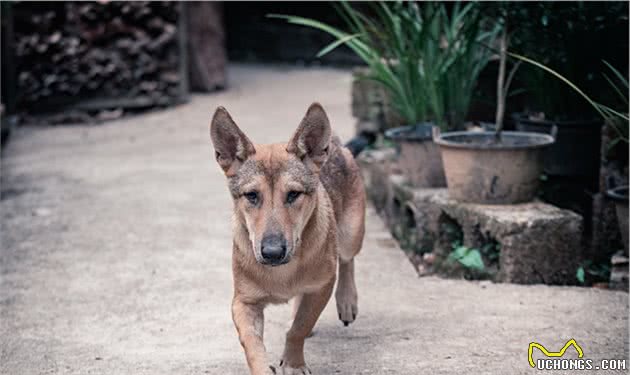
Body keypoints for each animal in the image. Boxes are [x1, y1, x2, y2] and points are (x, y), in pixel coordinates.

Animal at [210, 103, 368, 375]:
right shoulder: (243, 302)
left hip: (351, 234)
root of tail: (336, 145)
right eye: (251, 195)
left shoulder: (321, 287)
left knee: (347, 260)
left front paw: (293, 363)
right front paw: (264, 368)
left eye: (293, 194)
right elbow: (251, 343)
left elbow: (300, 327)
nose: (272, 252)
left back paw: (347, 301)